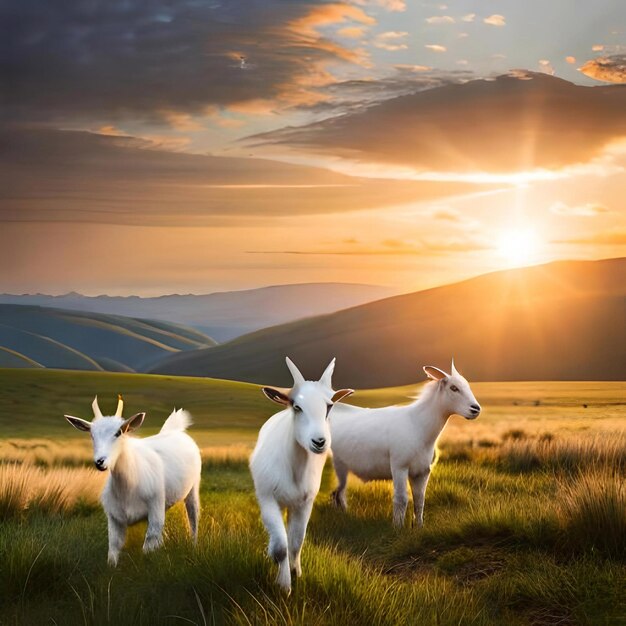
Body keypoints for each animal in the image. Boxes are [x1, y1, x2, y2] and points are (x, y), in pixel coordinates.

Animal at [63, 394, 200, 564]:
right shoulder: (114, 517)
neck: (128, 487)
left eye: (118, 433)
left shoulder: (155, 507)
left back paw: (194, 546)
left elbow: (149, 545)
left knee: (193, 517)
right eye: (91, 435)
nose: (100, 461)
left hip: (193, 488)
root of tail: (175, 429)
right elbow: (114, 547)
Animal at [250, 356, 356, 588]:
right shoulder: (268, 498)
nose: (319, 441)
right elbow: (281, 547)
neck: (295, 469)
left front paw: (295, 572)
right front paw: (283, 585)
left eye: (329, 406)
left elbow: (296, 542)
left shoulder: (305, 502)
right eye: (297, 406)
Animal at [330, 360, 480, 528]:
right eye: (454, 388)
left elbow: (420, 500)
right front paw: (397, 527)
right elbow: (401, 499)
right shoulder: (399, 466)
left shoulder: (422, 471)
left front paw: (419, 526)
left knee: (337, 492)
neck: (418, 425)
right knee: (337, 491)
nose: (476, 409)